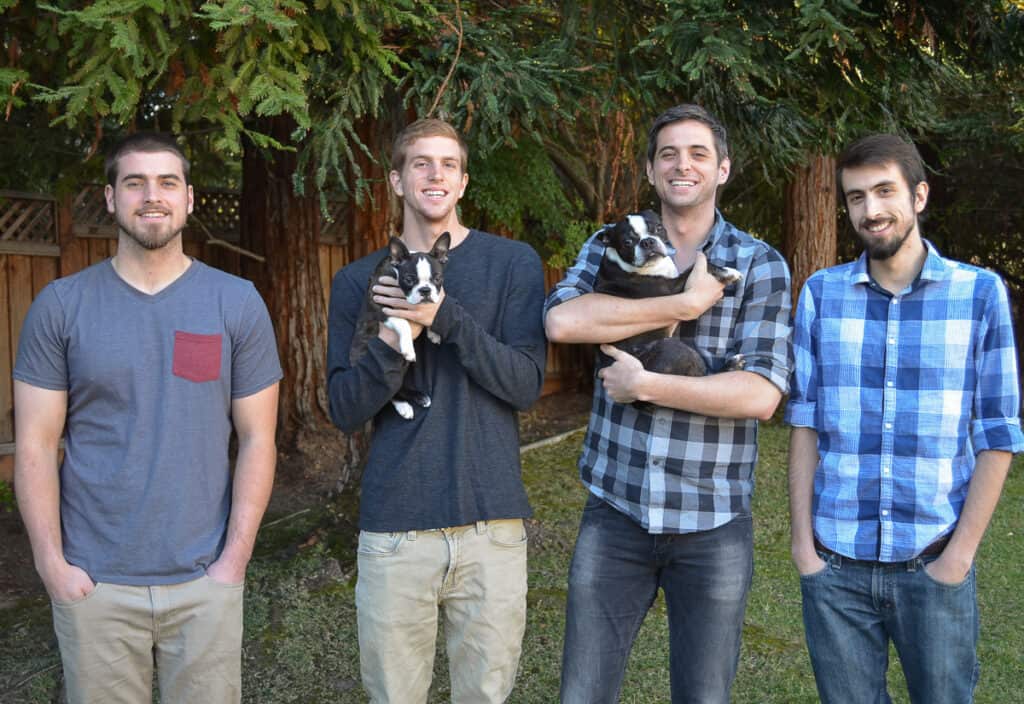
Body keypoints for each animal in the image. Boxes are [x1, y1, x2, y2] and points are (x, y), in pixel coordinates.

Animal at [350, 231, 450, 417]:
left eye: (437, 279)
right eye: (409, 279)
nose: (425, 290)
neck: (395, 273)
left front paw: (433, 332)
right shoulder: (382, 308)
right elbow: (403, 323)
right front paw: (409, 349)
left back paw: (418, 397)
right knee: (388, 391)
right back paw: (404, 406)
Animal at [593, 208, 745, 397]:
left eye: (658, 228)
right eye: (627, 242)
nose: (648, 241)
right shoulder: (671, 290)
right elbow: (693, 269)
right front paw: (727, 272)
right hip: (677, 351)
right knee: (698, 381)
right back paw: (731, 365)